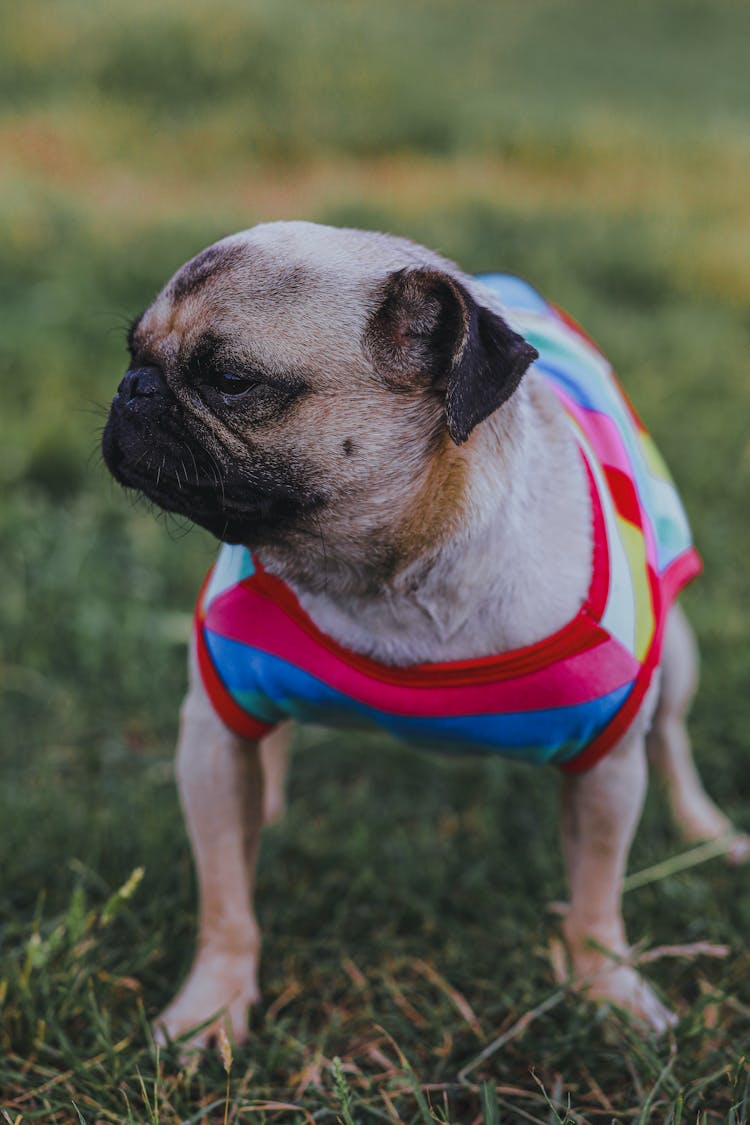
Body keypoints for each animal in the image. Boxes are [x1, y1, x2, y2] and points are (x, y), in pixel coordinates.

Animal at [102, 219, 746, 1044]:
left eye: (232, 381)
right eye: (132, 352)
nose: (132, 388)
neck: (387, 576)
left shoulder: (607, 767)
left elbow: (597, 901)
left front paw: (608, 991)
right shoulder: (212, 732)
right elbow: (226, 902)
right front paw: (210, 1006)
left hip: (677, 661)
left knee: (671, 737)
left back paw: (708, 830)